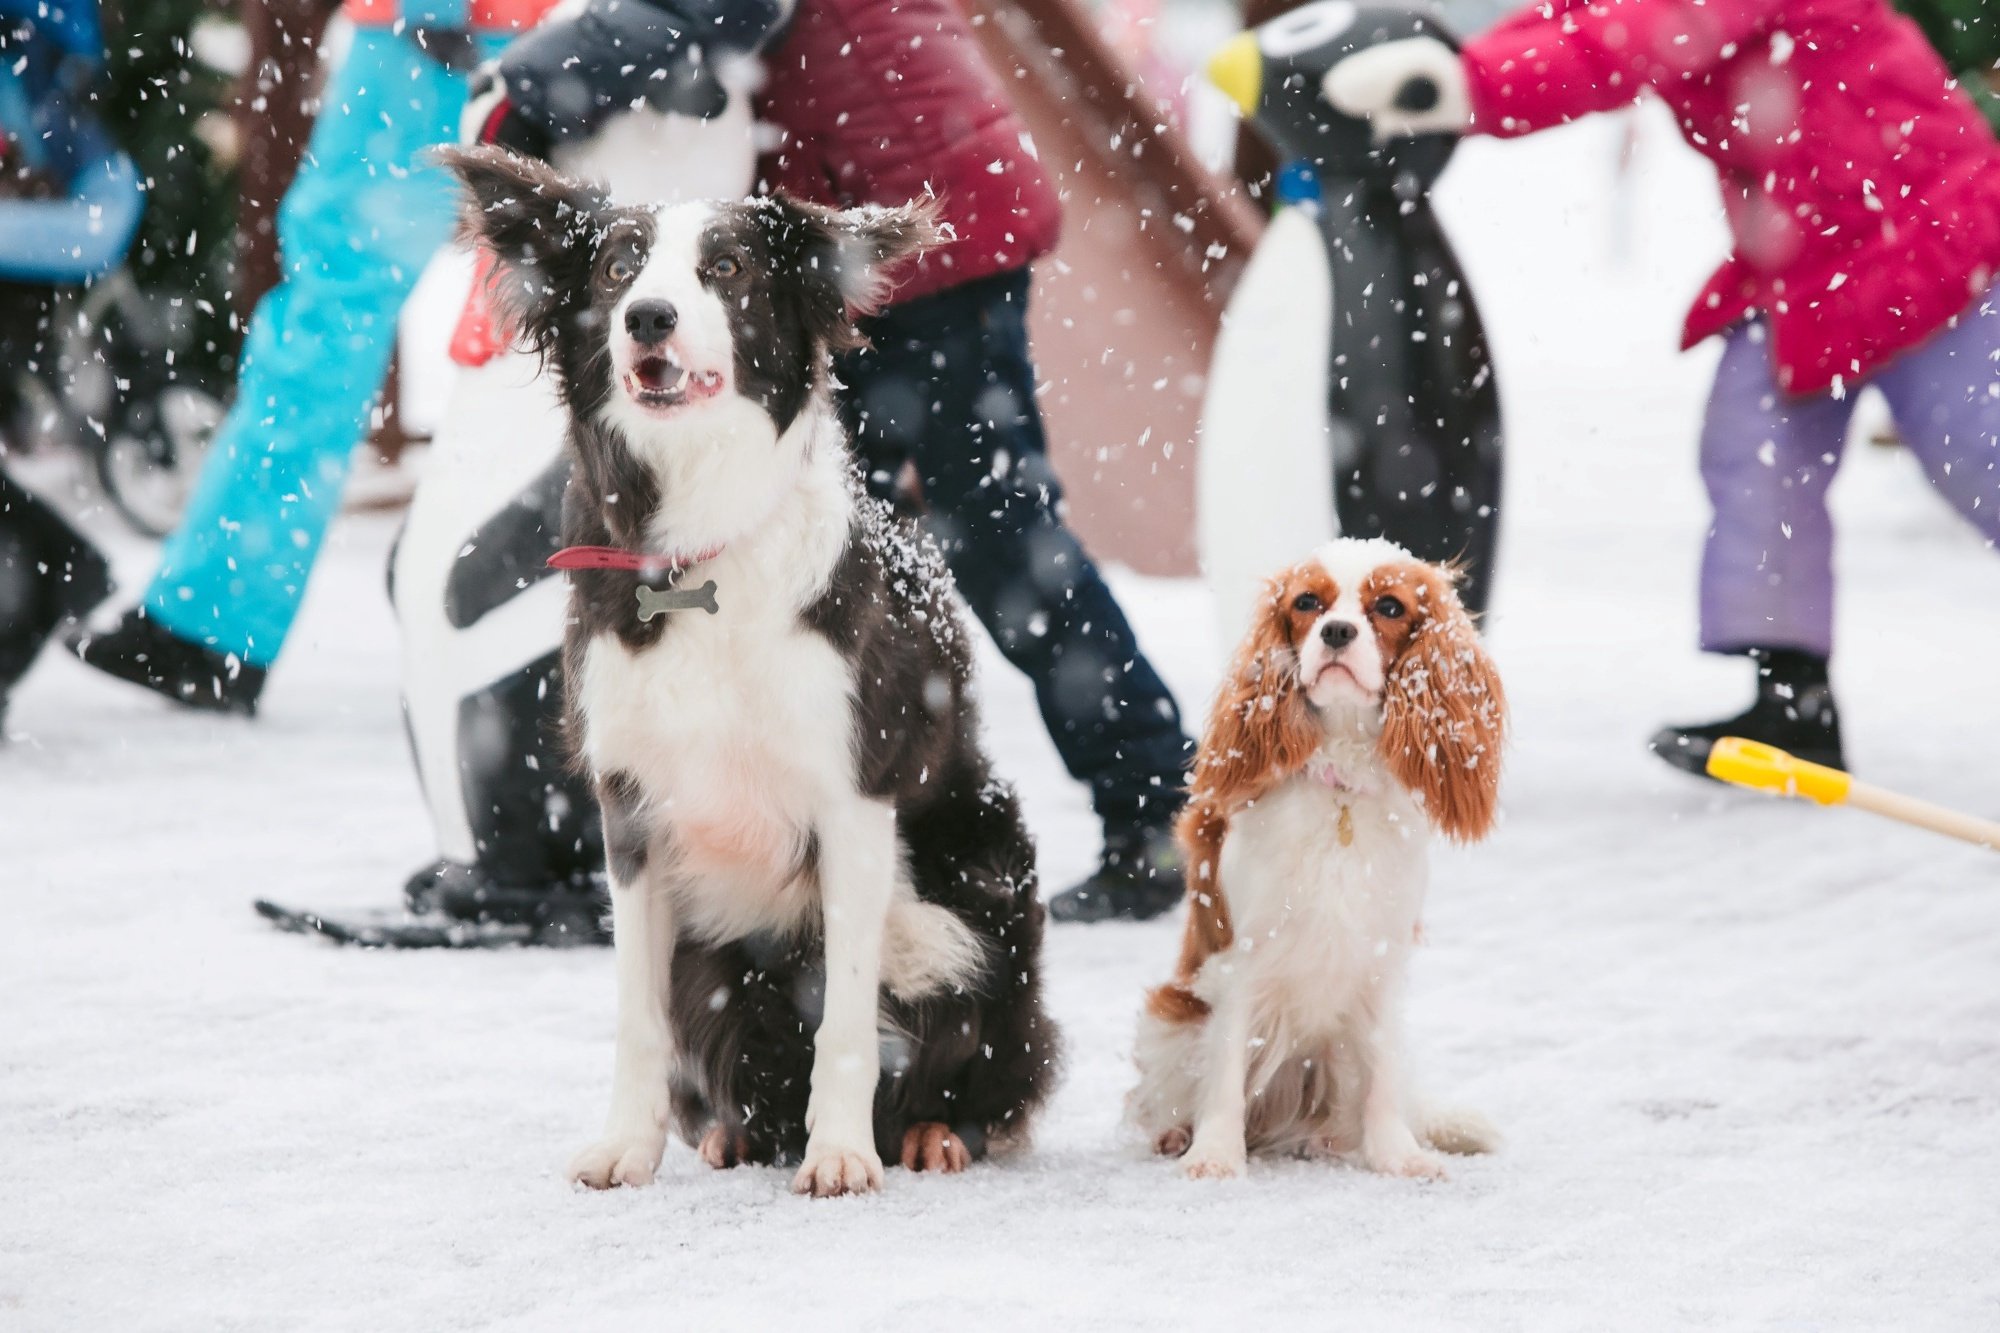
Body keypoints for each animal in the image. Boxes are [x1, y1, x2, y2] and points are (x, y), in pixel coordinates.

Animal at [1144, 536, 1504, 1176]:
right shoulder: (1241, 958)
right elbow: (1226, 1069)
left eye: (1389, 607)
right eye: (1308, 602)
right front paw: (1215, 1154)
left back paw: (1332, 1139)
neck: (1341, 779)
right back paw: (1176, 1133)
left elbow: (1382, 1076)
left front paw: (1397, 1156)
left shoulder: (1383, 954)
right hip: (1170, 1021)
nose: (1336, 631)